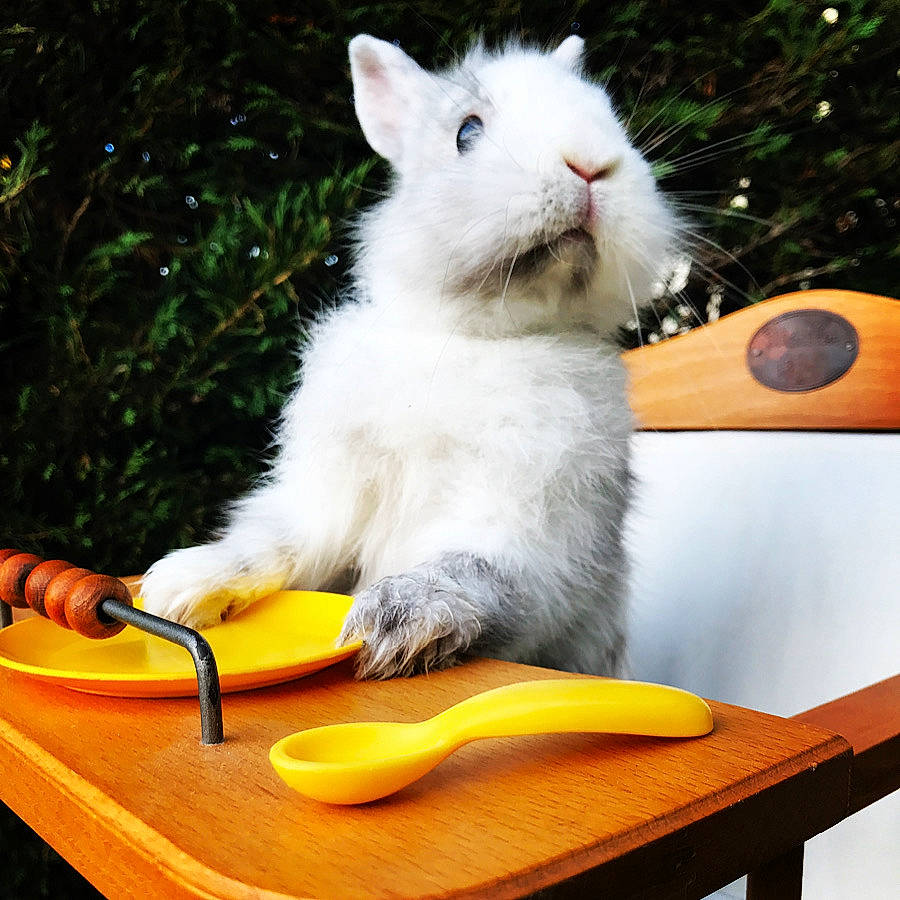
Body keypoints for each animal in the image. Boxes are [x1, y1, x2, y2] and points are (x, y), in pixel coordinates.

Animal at [141, 33, 679, 679]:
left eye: (612, 120)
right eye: (466, 132)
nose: (592, 166)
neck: (473, 337)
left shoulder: (533, 530)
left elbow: (472, 569)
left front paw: (392, 622)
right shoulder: (327, 494)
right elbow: (279, 539)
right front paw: (182, 586)